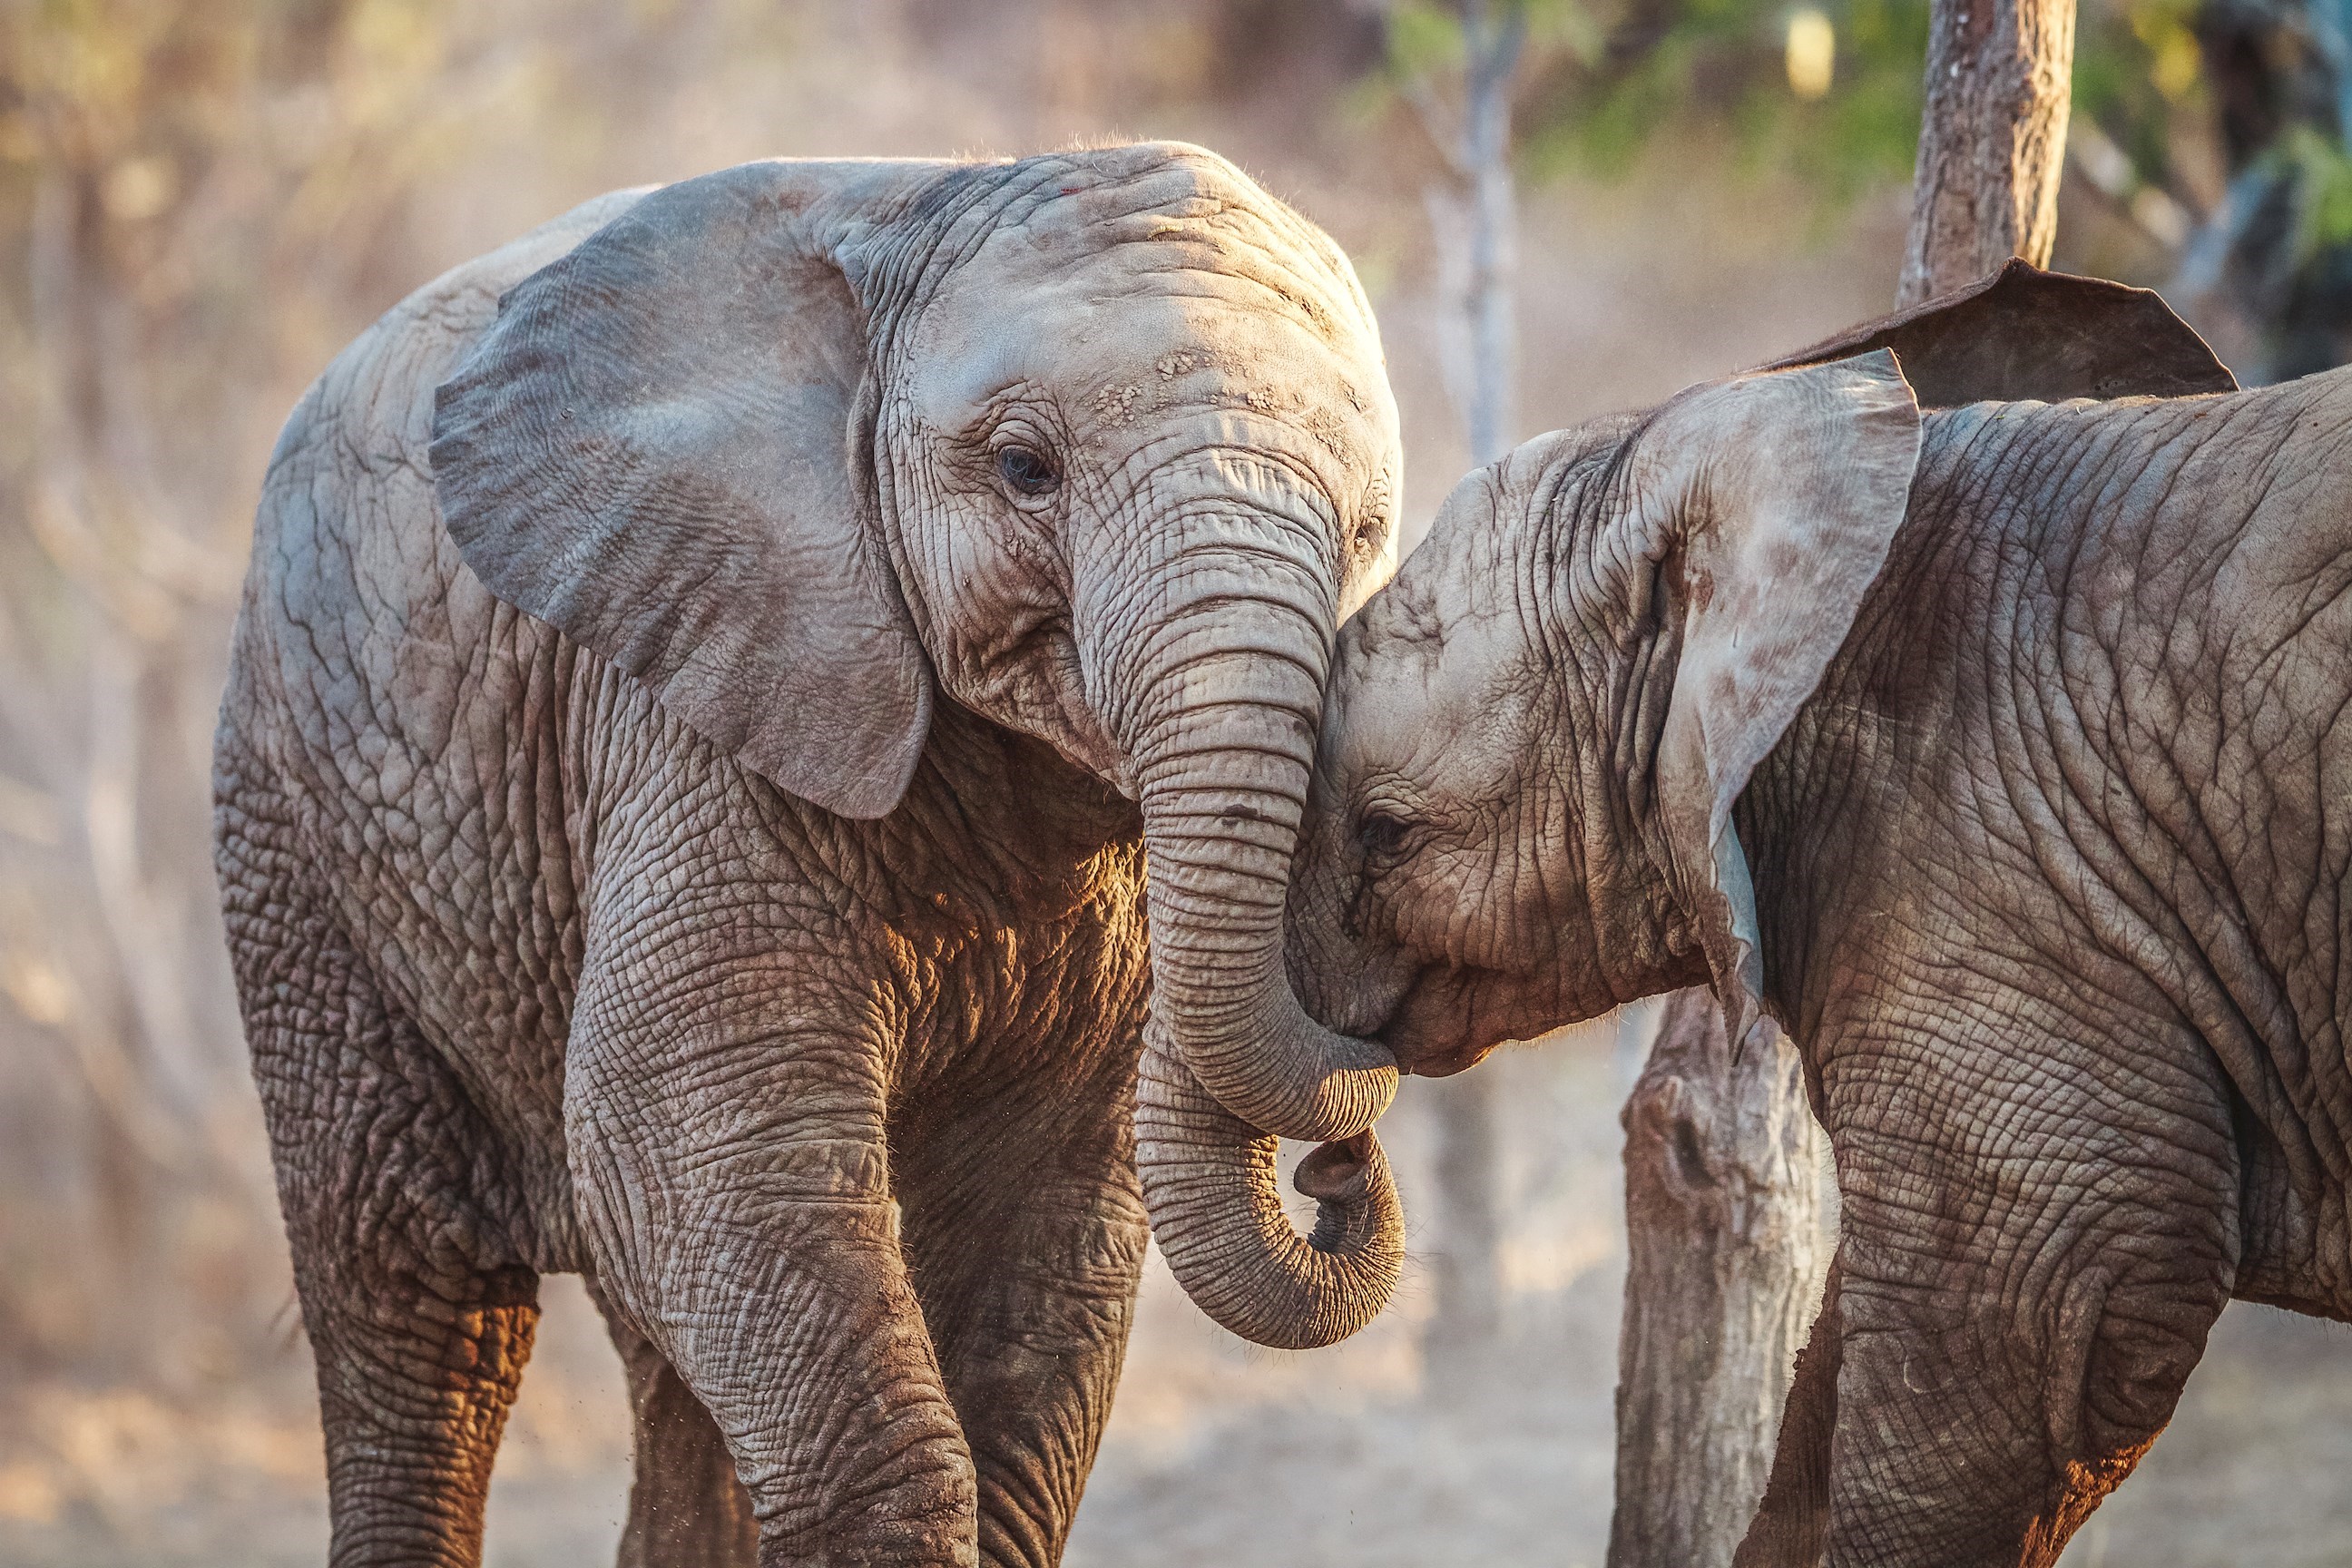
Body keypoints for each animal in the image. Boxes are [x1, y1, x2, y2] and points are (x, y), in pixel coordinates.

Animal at [211, 142, 1408, 1568]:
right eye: (1025, 468)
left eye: (1366, 532)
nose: (1339, 1169)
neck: (933, 201)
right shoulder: (698, 703)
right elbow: (689, 1140)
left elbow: (1042, 1218)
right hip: (292, 822)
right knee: (411, 1296)